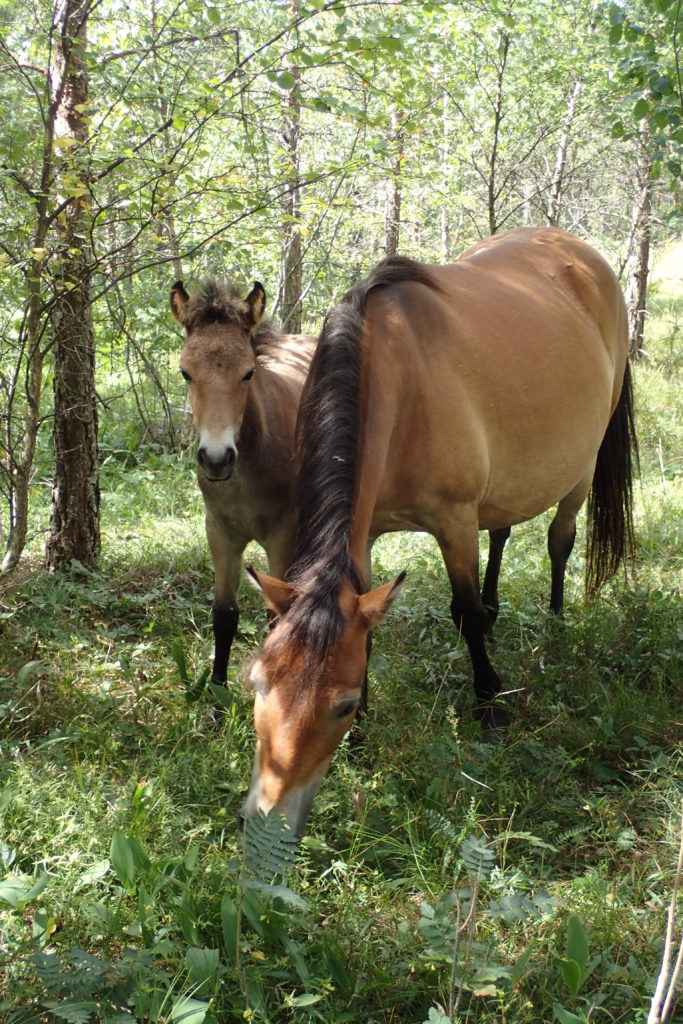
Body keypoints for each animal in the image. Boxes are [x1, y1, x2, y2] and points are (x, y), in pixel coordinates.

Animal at [172, 276, 319, 684]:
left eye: (248, 372)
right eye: (186, 372)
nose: (216, 458)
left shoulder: (281, 537)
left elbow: (277, 614)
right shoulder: (220, 533)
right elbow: (224, 615)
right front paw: (216, 690)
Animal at [242, 228, 638, 835]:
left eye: (341, 704)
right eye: (259, 684)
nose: (272, 812)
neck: (400, 383)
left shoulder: (454, 521)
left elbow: (465, 611)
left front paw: (489, 705)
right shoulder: (366, 538)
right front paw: (363, 743)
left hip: (581, 470)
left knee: (559, 541)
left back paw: (555, 623)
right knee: (501, 533)